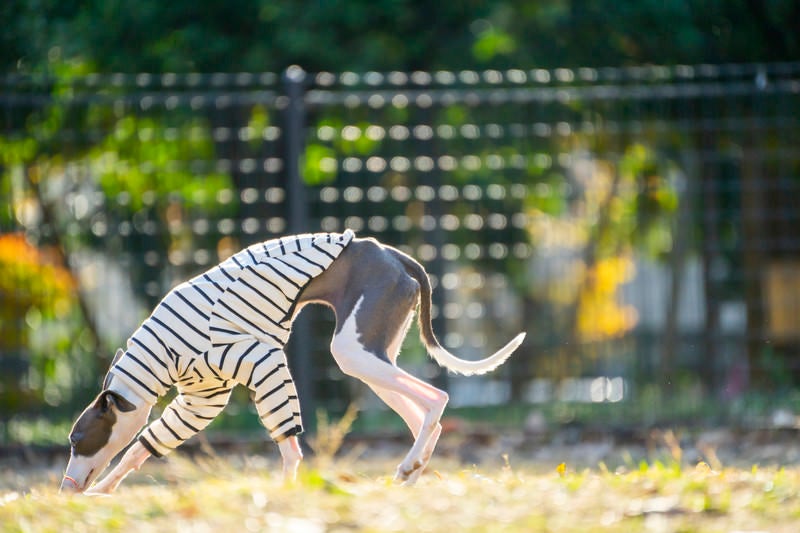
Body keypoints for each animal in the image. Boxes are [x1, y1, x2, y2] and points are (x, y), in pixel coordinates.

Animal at [62, 231, 524, 492]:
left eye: (76, 439)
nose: (65, 488)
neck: (160, 355)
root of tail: (393, 254)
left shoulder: (262, 362)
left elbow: (287, 442)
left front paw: (285, 491)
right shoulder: (201, 400)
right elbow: (141, 448)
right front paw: (104, 491)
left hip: (353, 352)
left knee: (437, 397)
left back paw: (412, 462)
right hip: (372, 359)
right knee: (423, 415)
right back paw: (412, 470)